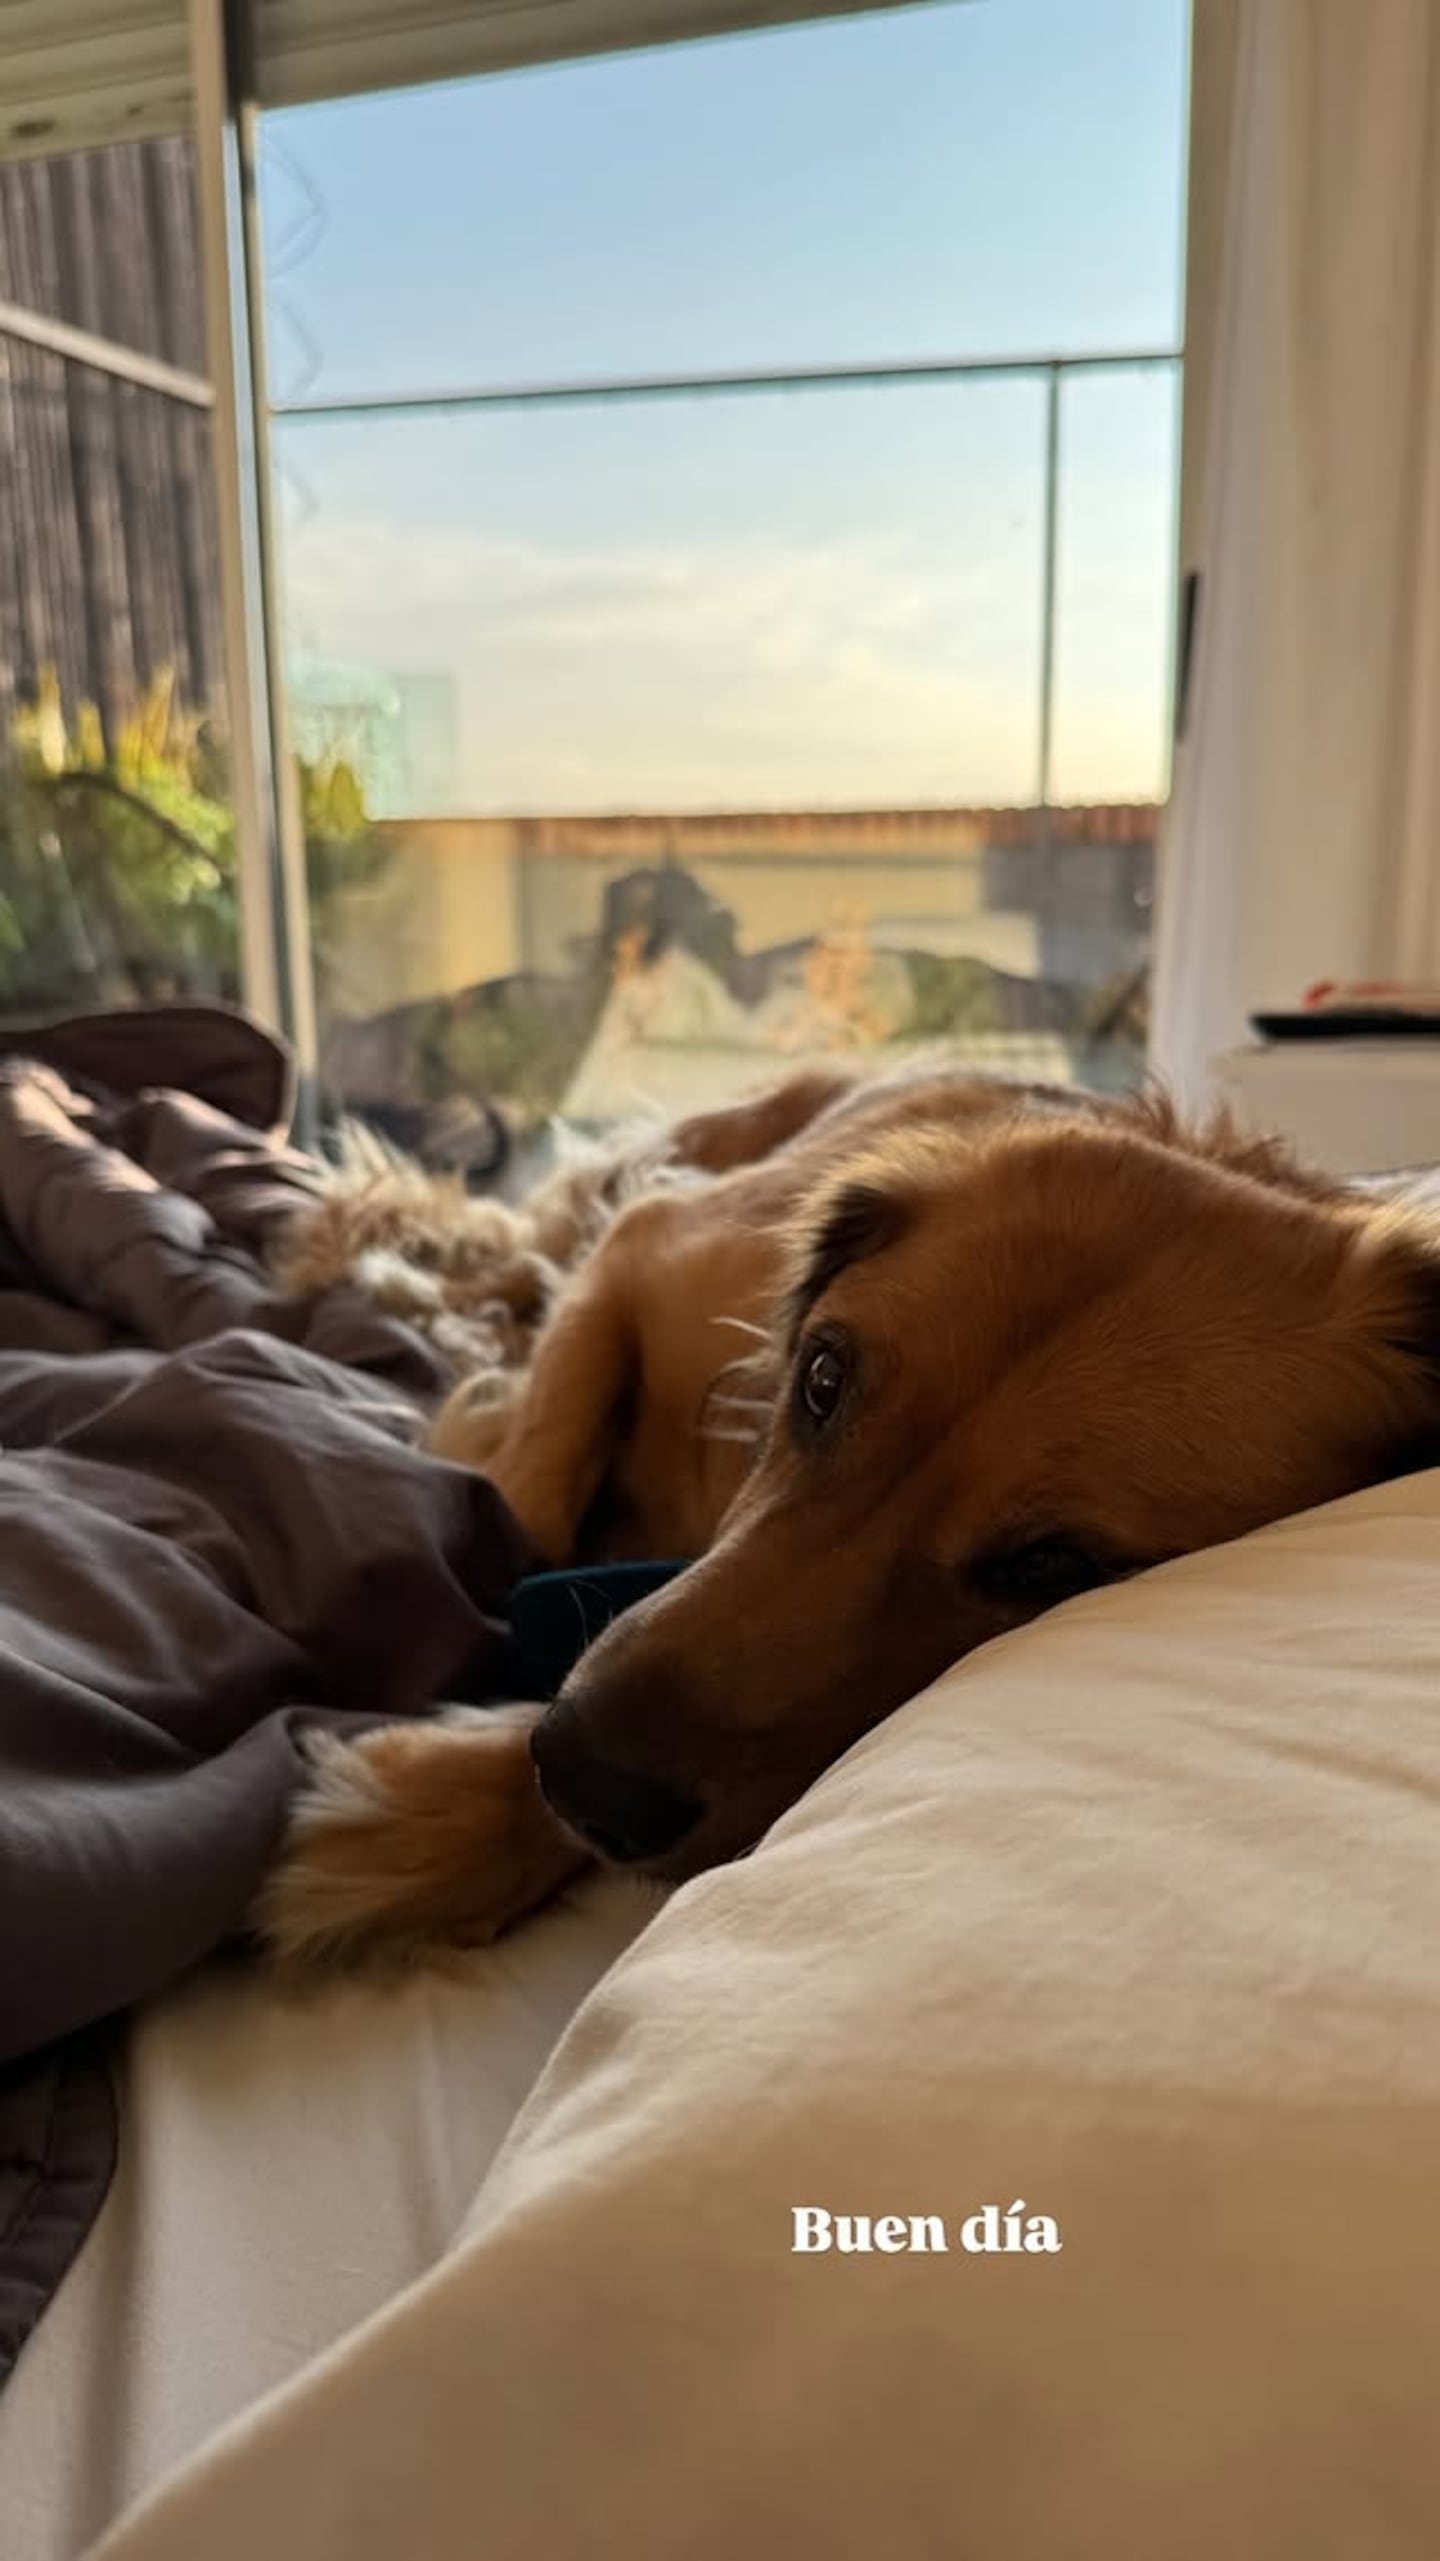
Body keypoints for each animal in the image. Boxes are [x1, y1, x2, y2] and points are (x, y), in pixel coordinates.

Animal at [257, 1063, 1440, 1971]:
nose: (582, 1773)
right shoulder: (647, 1245)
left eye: (1054, 1566)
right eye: (823, 1377)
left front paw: (448, 1809)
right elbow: (535, 1502)